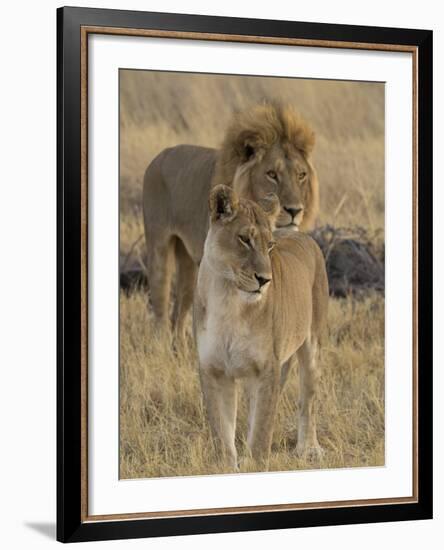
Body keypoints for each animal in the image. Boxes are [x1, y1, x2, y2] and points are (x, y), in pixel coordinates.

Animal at [143, 103, 320, 340]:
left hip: (188, 262)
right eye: (272, 174)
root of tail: (160, 155)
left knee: (179, 313)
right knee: (161, 307)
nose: (295, 210)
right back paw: (161, 343)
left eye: (301, 175)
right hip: (159, 248)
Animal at [193, 185, 328, 470]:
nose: (265, 280)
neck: (228, 298)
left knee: (308, 400)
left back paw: (309, 449)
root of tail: (301, 234)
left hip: (312, 346)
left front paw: (255, 466)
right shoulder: (214, 371)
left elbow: (261, 435)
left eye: (270, 245)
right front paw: (227, 468)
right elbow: (222, 433)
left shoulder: (267, 370)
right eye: (244, 239)